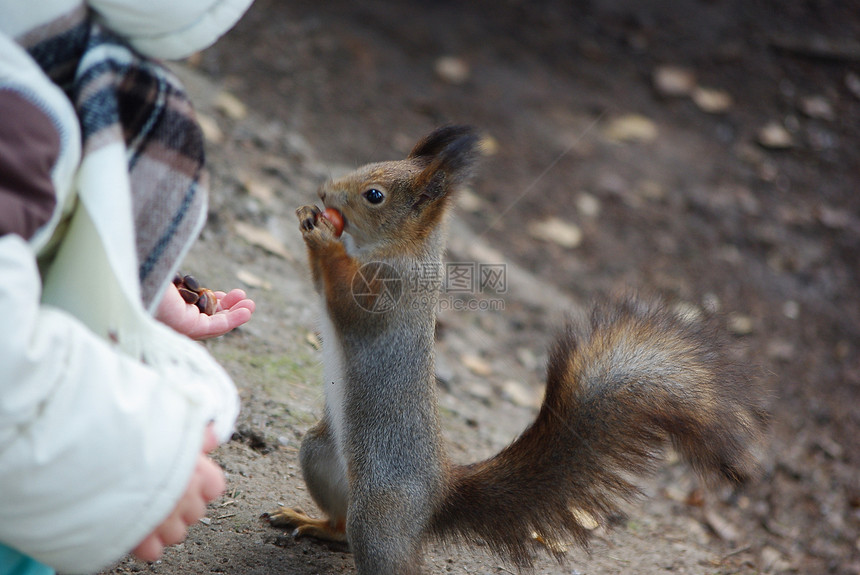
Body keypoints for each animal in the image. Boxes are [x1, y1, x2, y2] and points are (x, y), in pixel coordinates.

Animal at [266, 127, 768, 575]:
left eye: (374, 195)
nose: (324, 191)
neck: (394, 250)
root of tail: (437, 497)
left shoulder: (387, 295)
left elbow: (346, 303)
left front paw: (323, 238)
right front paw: (307, 217)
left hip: (380, 512)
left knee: (381, 554)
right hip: (320, 453)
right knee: (340, 528)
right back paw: (314, 523)